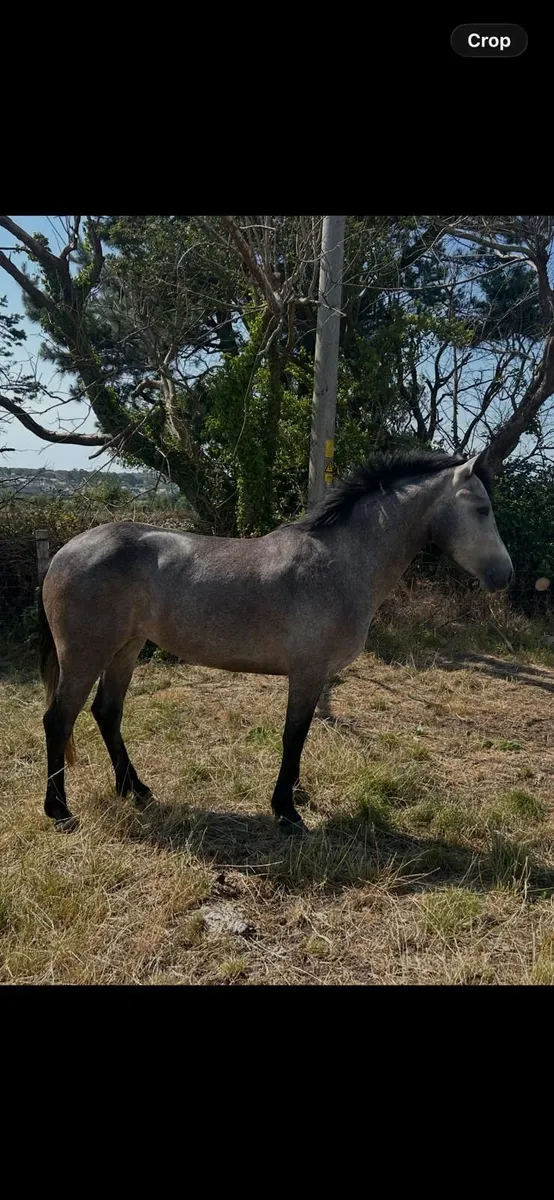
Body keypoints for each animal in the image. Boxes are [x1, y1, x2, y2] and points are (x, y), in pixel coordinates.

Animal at [37, 447, 513, 834]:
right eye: (482, 508)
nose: (504, 575)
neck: (339, 562)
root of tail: (66, 551)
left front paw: (294, 797)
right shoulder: (308, 673)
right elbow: (294, 736)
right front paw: (287, 810)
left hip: (126, 649)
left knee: (107, 713)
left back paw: (135, 789)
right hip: (85, 655)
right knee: (59, 720)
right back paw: (60, 812)